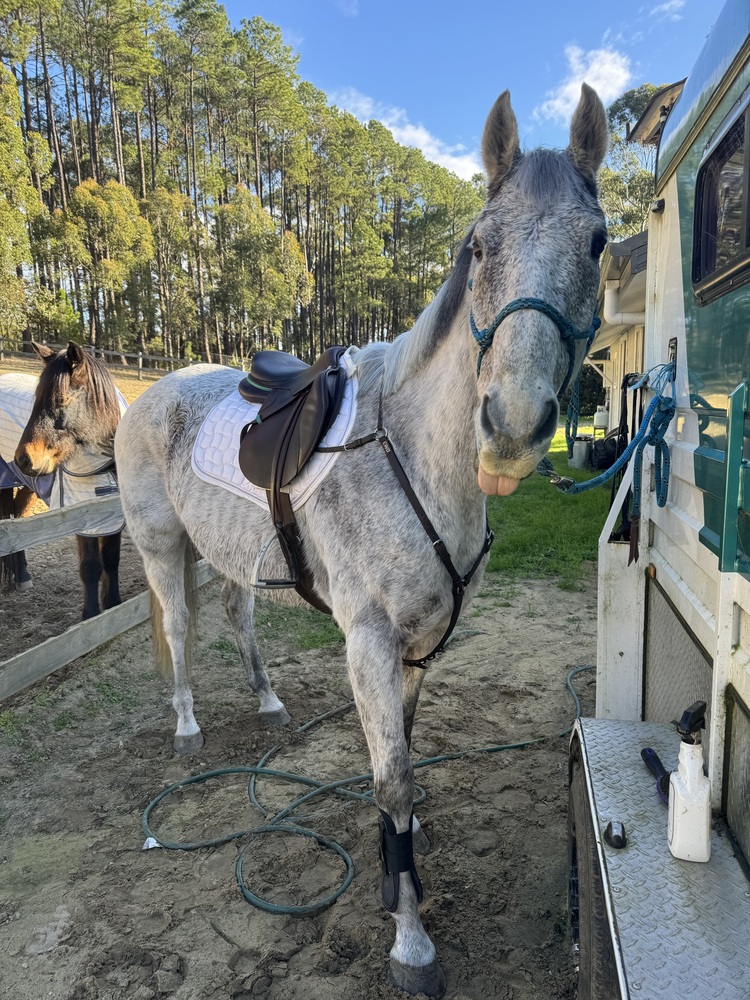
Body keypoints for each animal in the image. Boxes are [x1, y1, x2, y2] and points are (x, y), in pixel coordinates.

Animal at [0, 341, 125, 619]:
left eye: (60, 399)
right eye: (36, 397)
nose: (23, 458)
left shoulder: (113, 516)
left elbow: (111, 561)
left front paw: (114, 605)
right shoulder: (82, 517)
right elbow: (91, 567)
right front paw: (91, 615)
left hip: (28, 485)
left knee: (17, 518)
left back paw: (22, 576)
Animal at [114, 85, 608, 997]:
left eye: (596, 243)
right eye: (477, 246)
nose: (513, 426)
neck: (410, 449)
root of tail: (155, 389)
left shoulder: (418, 645)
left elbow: (401, 761)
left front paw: (393, 872)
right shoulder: (370, 643)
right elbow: (393, 778)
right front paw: (411, 939)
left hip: (230, 558)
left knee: (236, 617)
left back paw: (269, 704)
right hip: (163, 550)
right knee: (179, 628)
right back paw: (188, 728)